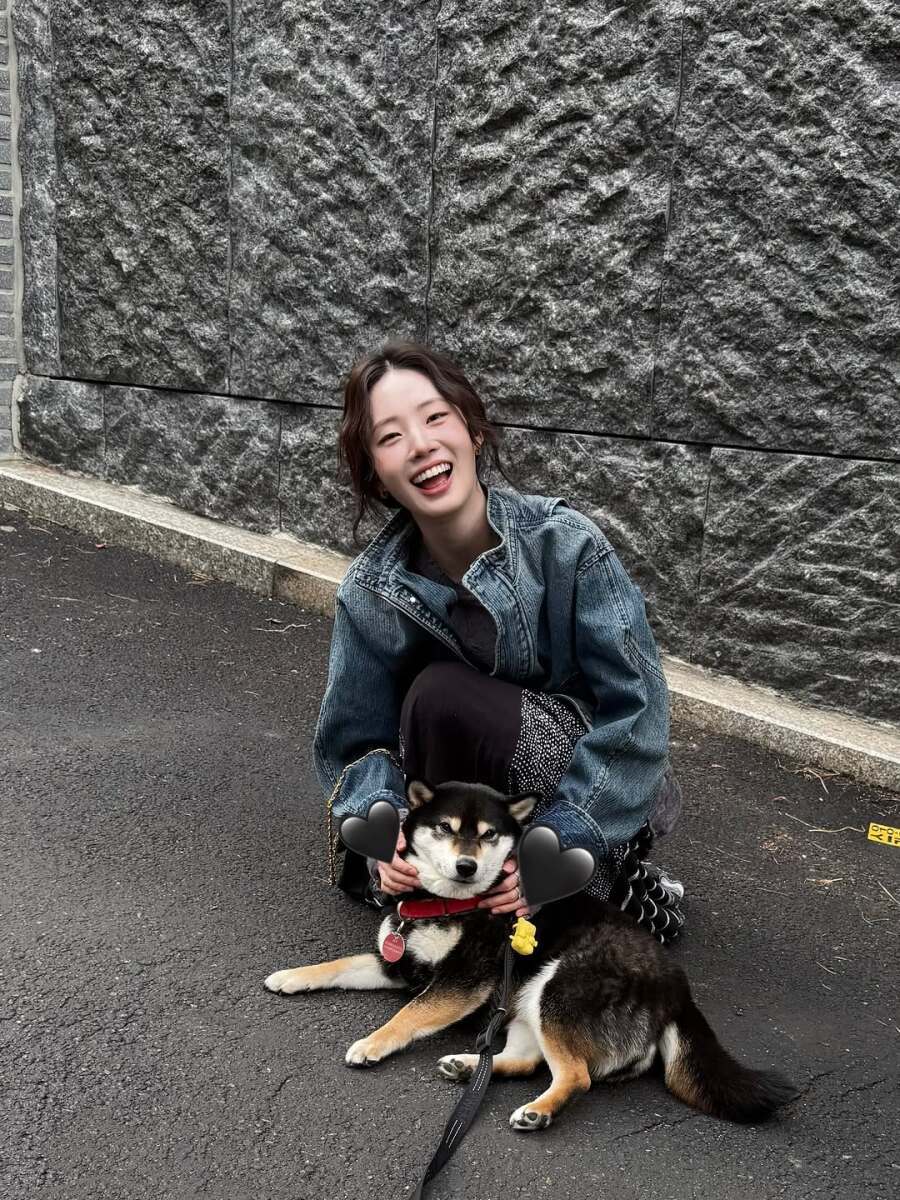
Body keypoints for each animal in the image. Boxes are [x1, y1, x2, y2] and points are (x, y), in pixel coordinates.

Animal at [265, 779, 797, 1130]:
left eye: (489, 835)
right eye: (445, 828)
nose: (466, 865)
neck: (448, 901)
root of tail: (677, 991)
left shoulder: (463, 980)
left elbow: (409, 1015)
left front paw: (371, 1044)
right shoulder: (398, 963)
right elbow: (338, 966)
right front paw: (291, 975)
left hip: (556, 989)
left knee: (576, 1076)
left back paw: (539, 1110)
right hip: (524, 1001)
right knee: (524, 1060)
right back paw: (468, 1067)